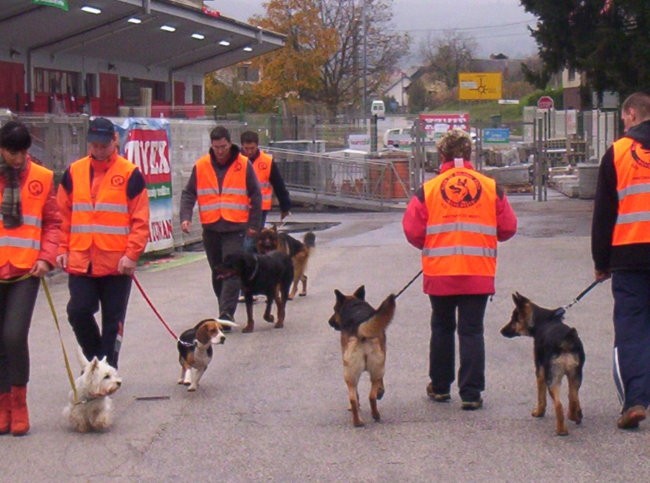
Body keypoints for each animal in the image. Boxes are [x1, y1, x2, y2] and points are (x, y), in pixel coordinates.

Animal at [324, 286, 394, 430]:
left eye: (334, 309)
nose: (329, 322)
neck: (354, 306)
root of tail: (360, 331)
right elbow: (381, 384)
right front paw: (381, 391)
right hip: (375, 370)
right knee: (370, 396)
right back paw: (374, 415)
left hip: (350, 375)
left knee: (354, 398)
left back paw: (358, 421)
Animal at [498, 294, 584, 436]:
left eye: (514, 319)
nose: (501, 331)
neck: (544, 321)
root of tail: (565, 341)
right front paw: (578, 414)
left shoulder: (540, 371)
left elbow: (541, 396)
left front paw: (539, 412)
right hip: (575, 375)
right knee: (573, 397)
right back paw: (574, 416)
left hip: (553, 379)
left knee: (559, 405)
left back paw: (561, 430)